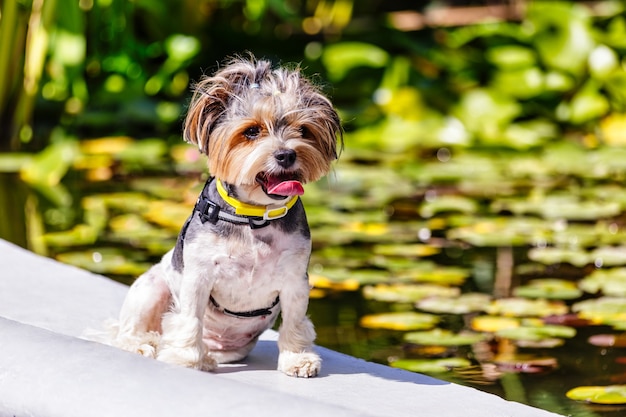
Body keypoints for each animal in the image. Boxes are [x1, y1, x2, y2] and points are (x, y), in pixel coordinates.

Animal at [107, 56, 342, 376]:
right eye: (252, 131)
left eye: (303, 131)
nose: (286, 154)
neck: (254, 218)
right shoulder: (198, 274)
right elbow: (190, 318)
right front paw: (185, 358)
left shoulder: (295, 279)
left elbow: (295, 321)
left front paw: (297, 359)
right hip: (151, 288)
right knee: (130, 332)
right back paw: (146, 345)